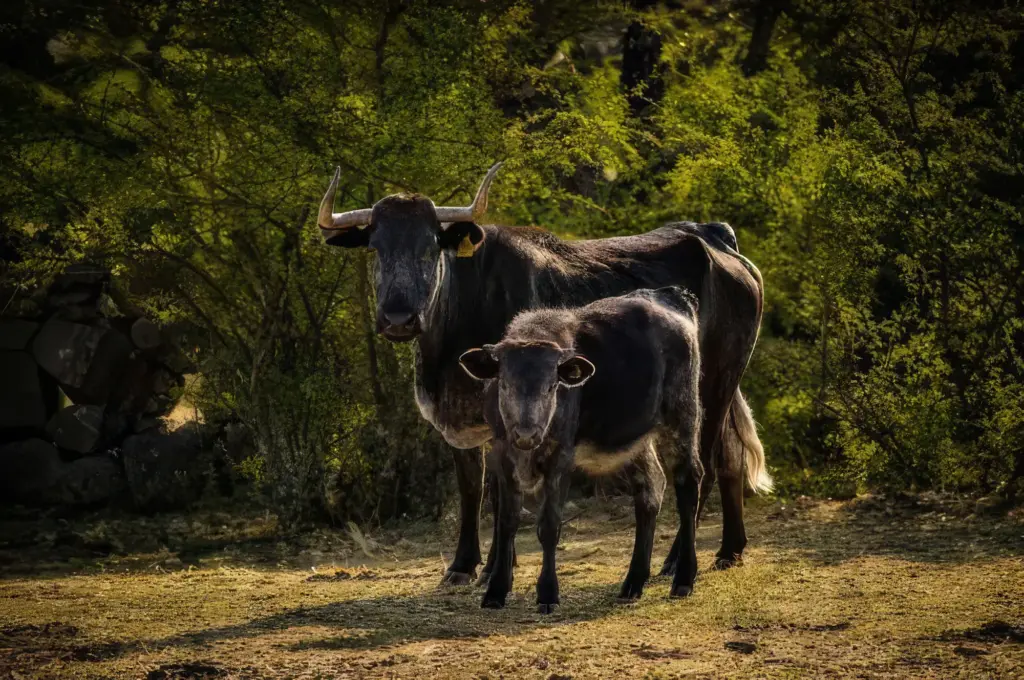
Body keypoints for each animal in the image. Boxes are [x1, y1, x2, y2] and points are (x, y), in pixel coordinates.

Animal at [459, 286, 704, 610]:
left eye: (552, 386)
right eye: (505, 384)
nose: (527, 433)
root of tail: (673, 297)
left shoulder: (560, 458)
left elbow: (549, 526)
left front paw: (548, 593)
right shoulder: (502, 455)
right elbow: (507, 522)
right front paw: (496, 590)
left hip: (682, 417)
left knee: (688, 484)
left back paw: (684, 578)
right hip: (636, 442)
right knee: (650, 489)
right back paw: (633, 582)